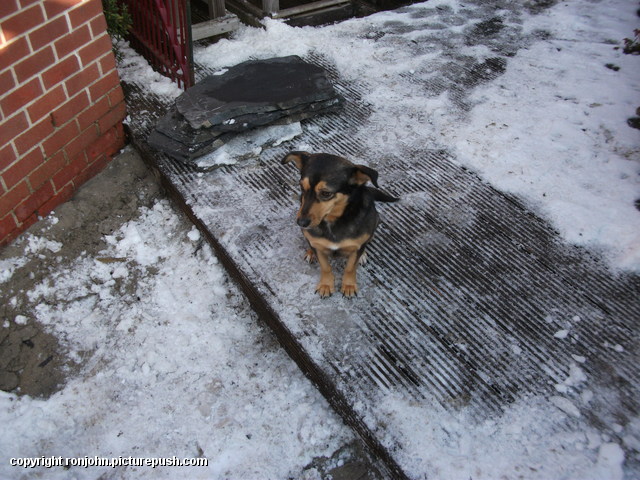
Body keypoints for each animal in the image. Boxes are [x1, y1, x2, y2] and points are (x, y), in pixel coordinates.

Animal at [282, 152, 398, 298]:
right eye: (302, 187)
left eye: (326, 193)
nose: (301, 223)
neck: (334, 220)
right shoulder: (318, 246)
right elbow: (325, 267)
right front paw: (326, 285)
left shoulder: (356, 247)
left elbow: (350, 268)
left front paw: (349, 286)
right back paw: (310, 252)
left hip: (376, 220)